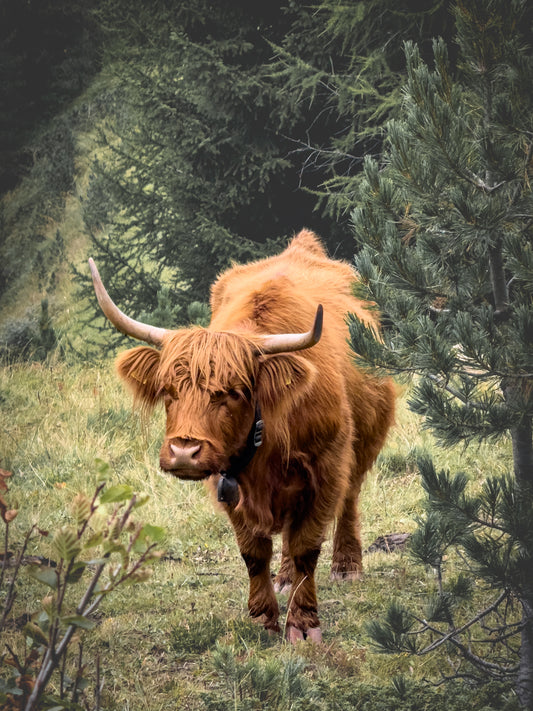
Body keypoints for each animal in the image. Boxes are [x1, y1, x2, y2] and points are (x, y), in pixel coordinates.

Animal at [89, 229, 395, 642]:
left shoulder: (327, 468)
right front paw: (263, 618)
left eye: (233, 392)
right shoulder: (228, 482)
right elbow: (254, 552)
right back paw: (284, 578)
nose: (184, 452)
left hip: (362, 444)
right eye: (168, 390)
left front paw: (303, 624)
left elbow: (307, 547)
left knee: (349, 499)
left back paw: (347, 566)